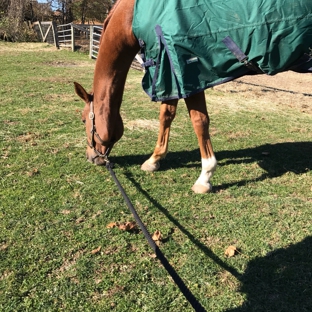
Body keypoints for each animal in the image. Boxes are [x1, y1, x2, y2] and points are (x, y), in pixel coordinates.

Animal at [74, 0, 216, 193]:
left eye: (83, 120)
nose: (89, 157)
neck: (131, 18)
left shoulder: (188, 75)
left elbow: (199, 121)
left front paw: (205, 177)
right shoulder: (168, 72)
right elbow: (166, 115)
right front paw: (154, 160)